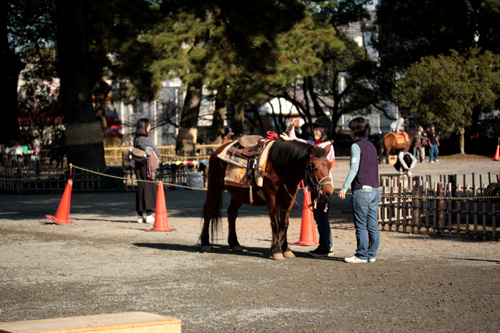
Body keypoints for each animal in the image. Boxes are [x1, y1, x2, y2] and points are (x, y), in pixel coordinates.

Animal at [200, 137, 336, 260]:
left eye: (329, 167)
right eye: (314, 167)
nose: (329, 193)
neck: (281, 166)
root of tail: (217, 151)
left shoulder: (289, 199)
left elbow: (284, 224)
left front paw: (286, 249)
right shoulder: (272, 197)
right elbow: (275, 223)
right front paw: (276, 250)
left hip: (238, 194)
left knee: (232, 214)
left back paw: (234, 243)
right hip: (215, 187)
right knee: (209, 211)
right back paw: (205, 242)